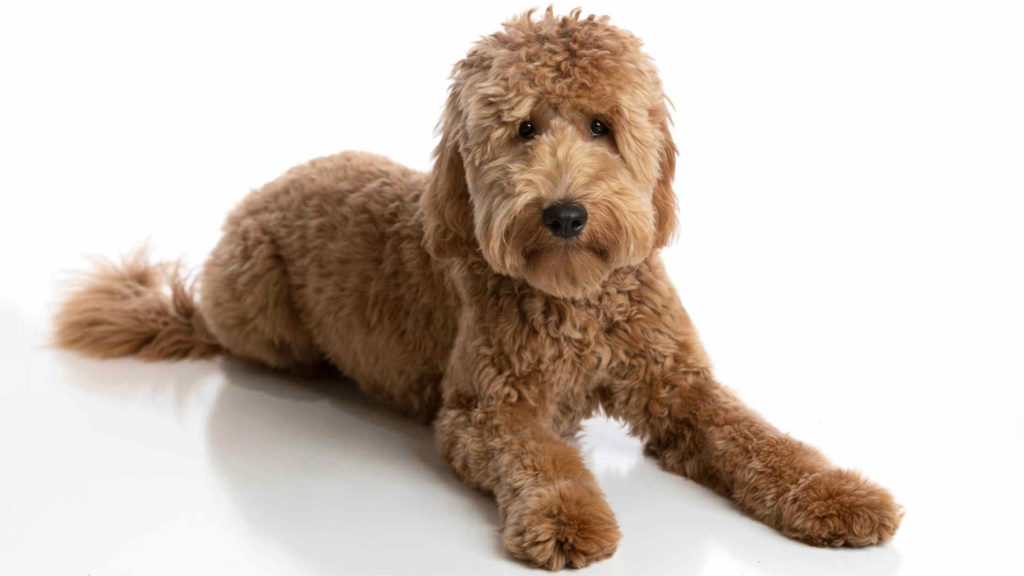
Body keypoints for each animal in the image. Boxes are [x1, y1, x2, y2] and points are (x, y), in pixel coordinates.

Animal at [58, 8, 905, 569]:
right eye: (524, 128)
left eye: (601, 125)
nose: (564, 212)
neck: (576, 296)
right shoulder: (486, 409)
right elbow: (544, 460)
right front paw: (568, 521)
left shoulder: (678, 384)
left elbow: (762, 440)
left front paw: (841, 496)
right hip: (260, 302)